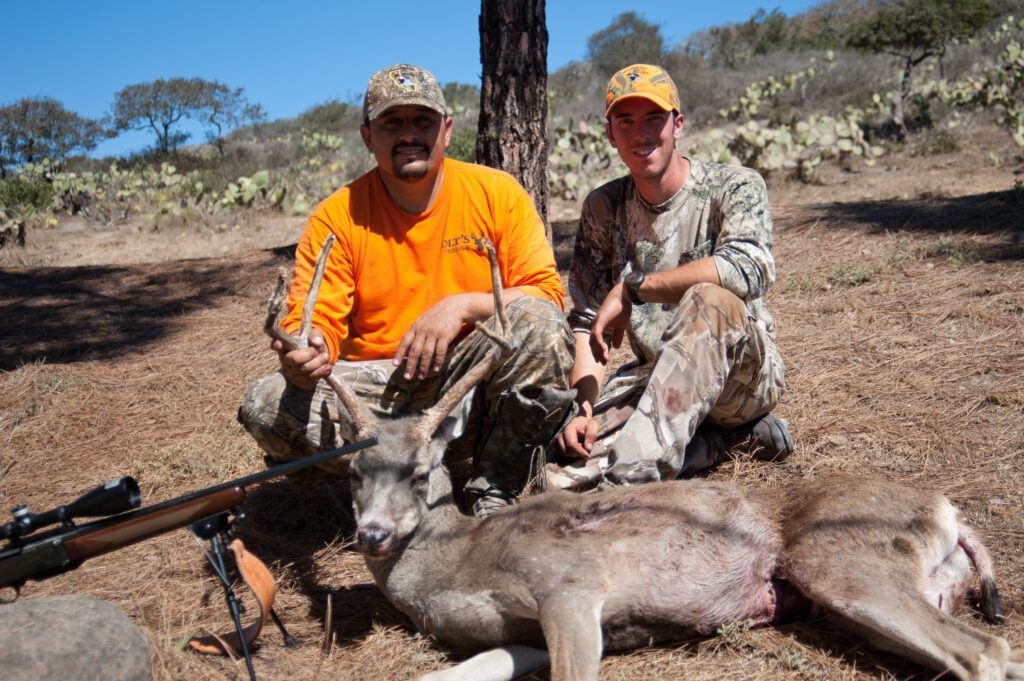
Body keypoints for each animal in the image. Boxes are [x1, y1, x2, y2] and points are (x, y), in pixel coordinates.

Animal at [262, 237, 1015, 679]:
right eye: (354, 472)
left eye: (421, 473)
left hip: (843, 558)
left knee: (986, 651)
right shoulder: (514, 632)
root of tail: (945, 507)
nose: (372, 534)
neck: (456, 564)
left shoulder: (570, 585)